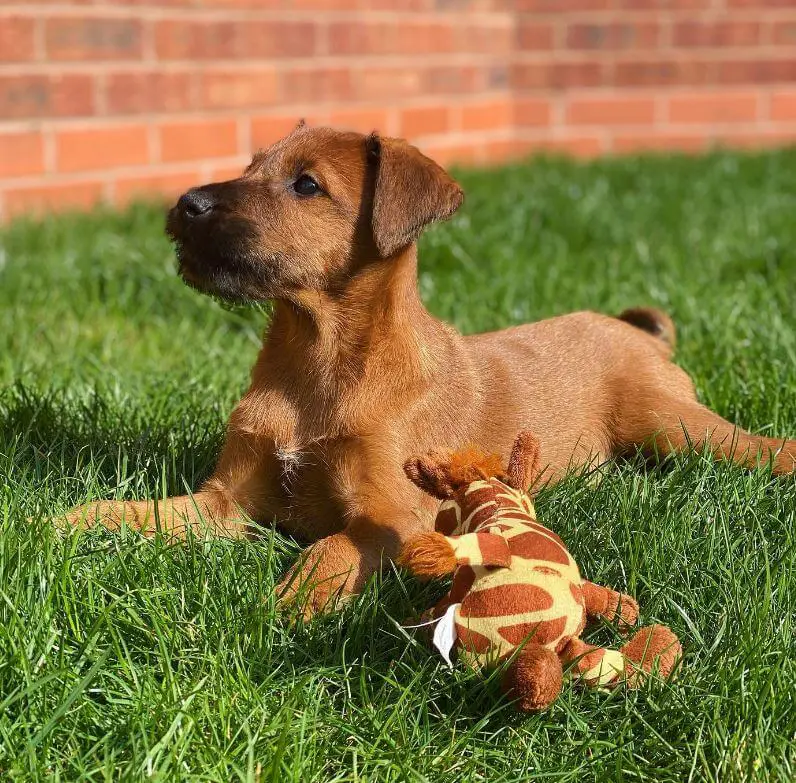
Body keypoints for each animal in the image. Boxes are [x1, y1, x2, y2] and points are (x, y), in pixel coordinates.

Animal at [67, 124, 796, 612]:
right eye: (249, 168)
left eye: (306, 185)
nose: (187, 203)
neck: (315, 366)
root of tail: (637, 332)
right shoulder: (223, 503)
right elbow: (137, 512)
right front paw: (62, 526)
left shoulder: (392, 519)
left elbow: (327, 549)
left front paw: (287, 609)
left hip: (674, 424)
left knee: (757, 446)